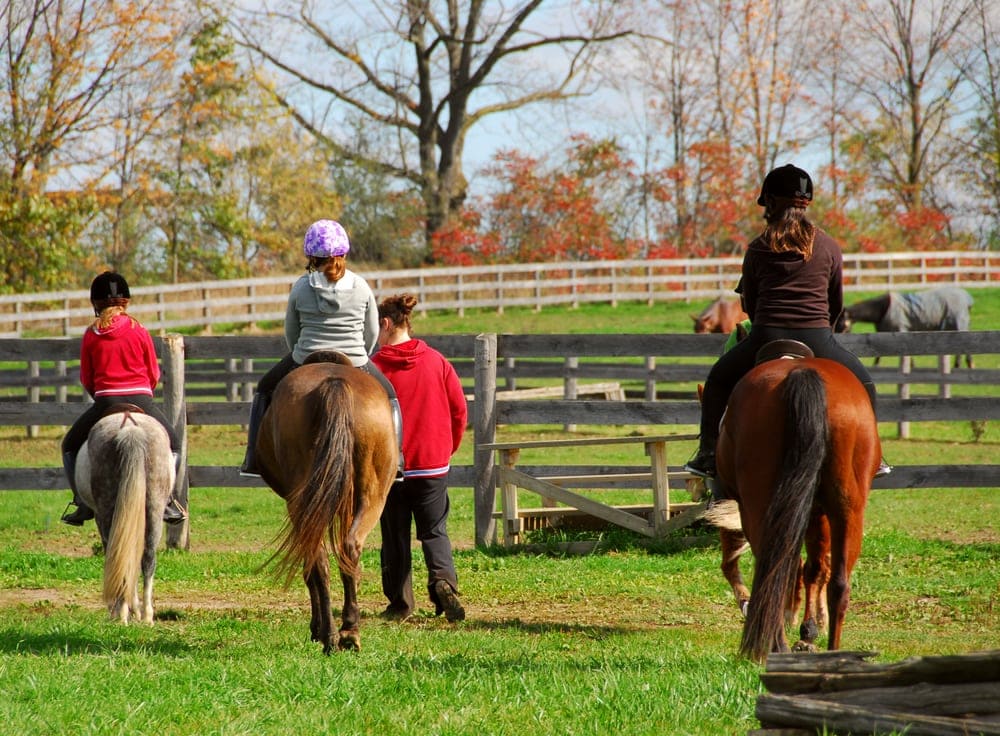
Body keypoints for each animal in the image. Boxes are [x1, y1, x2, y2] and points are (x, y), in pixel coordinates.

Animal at [76, 408, 175, 624]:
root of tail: (131, 429)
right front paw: (135, 608)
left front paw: (126, 608)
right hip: (154, 507)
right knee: (148, 558)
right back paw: (146, 615)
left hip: (106, 510)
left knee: (116, 553)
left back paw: (120, 613)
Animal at [257, 351, 397, 654]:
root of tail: (335, 382)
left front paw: (316, 628)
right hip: (373, 496)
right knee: (349, 548)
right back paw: (349, 631)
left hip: (302, 504)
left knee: (318, 558)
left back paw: (329, 635)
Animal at [705, 351, 879, 662]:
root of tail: (801, 370)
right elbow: (812, 568)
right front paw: (808, 631)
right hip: (847, 508)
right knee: (838, 582)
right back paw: (831, 653)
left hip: (761, 507)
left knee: (775, 571)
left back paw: (777, 642)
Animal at [838, 287, 974, 368]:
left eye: (841, 324)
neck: (883, 309)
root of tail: (967, 298)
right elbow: (879, 357)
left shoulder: (900, 331)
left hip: (959, 324)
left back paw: (961, 366)